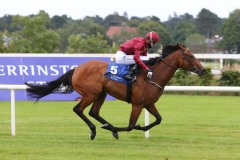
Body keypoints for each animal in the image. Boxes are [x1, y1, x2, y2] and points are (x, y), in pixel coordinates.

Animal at [25, 42, 206, 140]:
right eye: (190, 56)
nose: (203, 70)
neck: (153, 75)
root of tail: (77, 69)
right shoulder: (137, 104)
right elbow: (130, 125)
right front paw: (121, 129)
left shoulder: (148, 104)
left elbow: (158, 119)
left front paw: (142, 128)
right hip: (90, 93)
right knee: (78, 109)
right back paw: (96, 130)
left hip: (101, 93)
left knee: (93, 112)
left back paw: (106, 125)